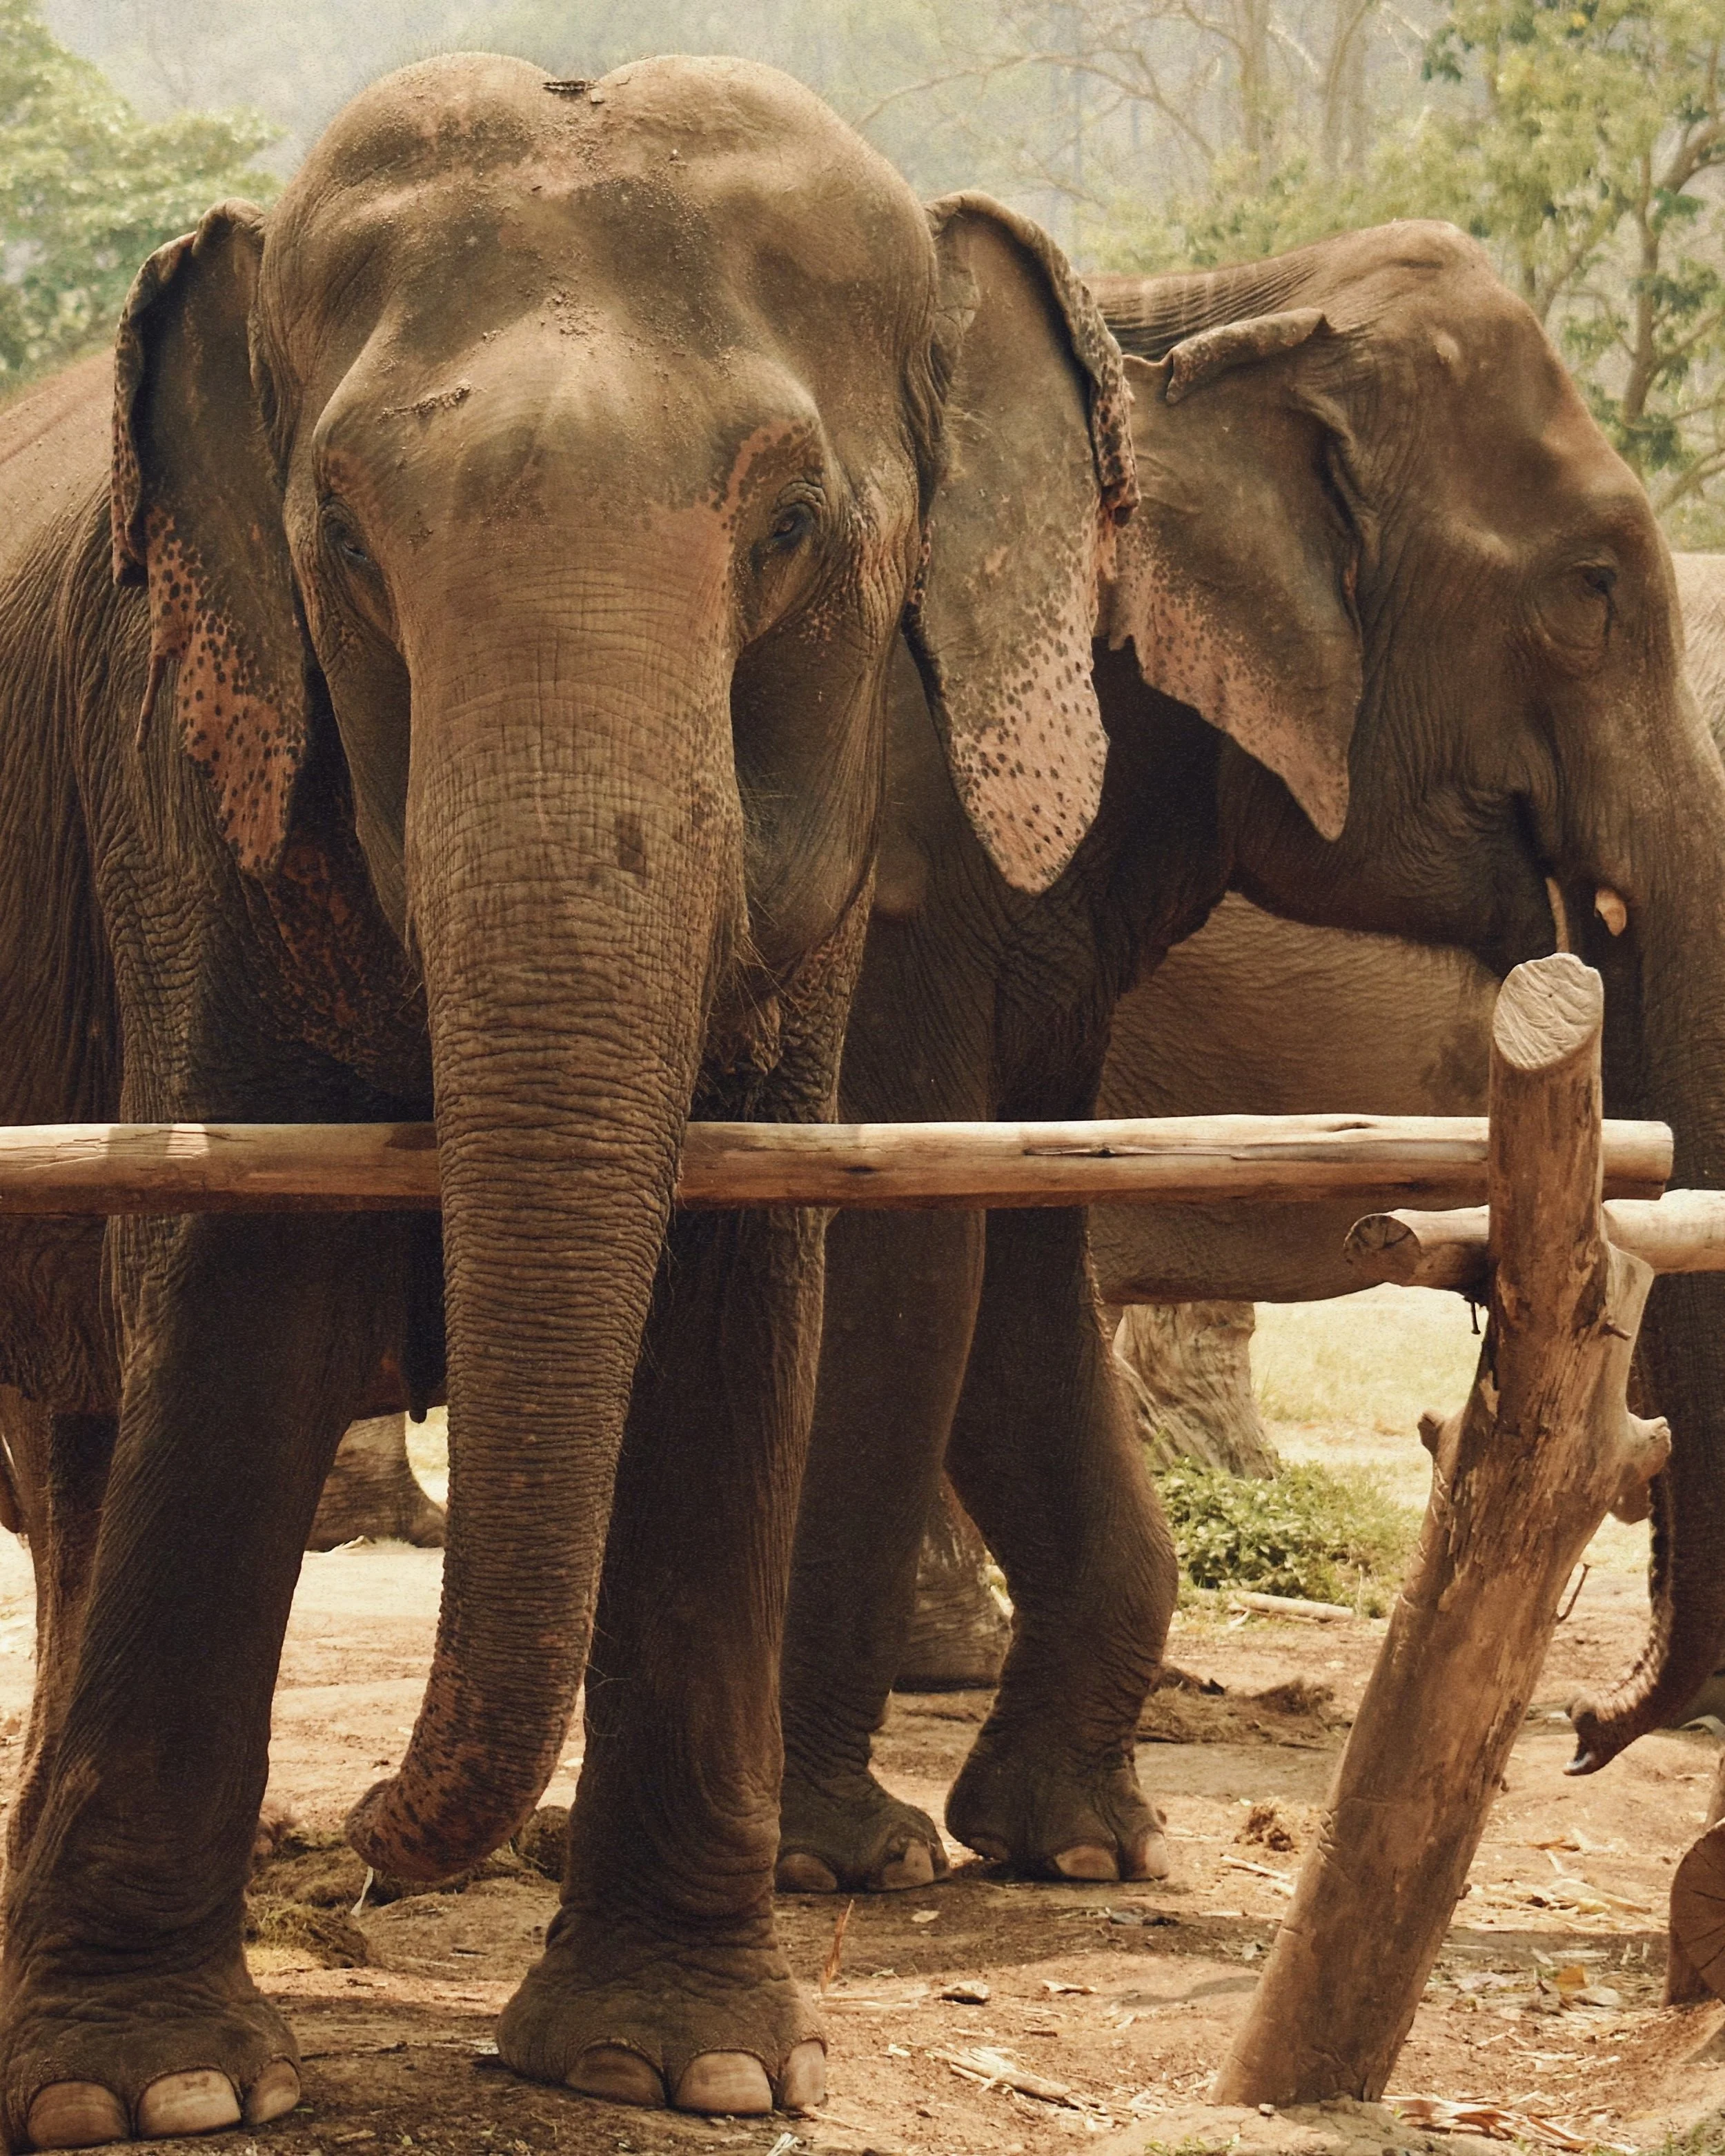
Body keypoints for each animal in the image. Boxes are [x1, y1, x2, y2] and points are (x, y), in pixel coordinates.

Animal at [0, 54, 1137, 2144]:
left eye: (791, 526)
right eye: (343, 538)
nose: (375, 1837)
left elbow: (736, 1309)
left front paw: (677, 2060)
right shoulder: (185, 773)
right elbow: (234, 1309)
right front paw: (151, 2091)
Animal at [776, 231, 1725, 1902]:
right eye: (1590, 590)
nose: (1586, 1732)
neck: (1184, 327)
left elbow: (1019, 1230)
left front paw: (1081, 1845)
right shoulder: (893, 845)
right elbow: (901, 1237)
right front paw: (846, 1859)